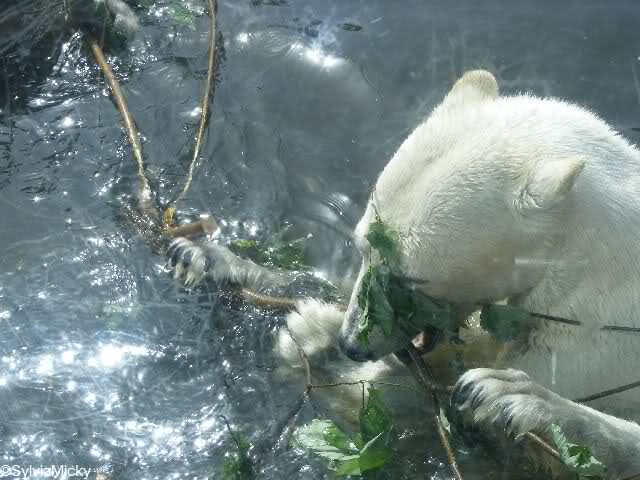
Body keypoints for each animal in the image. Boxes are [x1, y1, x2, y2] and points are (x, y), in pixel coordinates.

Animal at [170, 70, 640, 478]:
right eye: (361, 247)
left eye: (413, 279)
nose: (353, 343)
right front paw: (207, 258)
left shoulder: (588, 346)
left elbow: (419, 411)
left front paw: (311, 336)